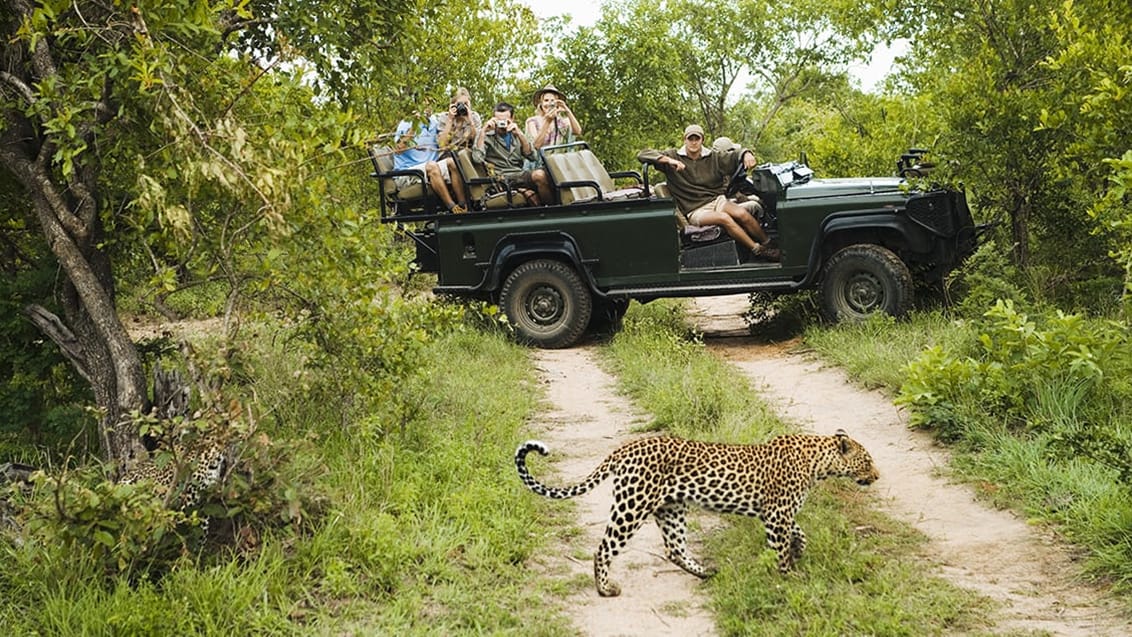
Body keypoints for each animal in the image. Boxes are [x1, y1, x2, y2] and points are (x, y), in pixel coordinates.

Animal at [518, 427, 878, 597]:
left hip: (671, 508)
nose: (876, 476)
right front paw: (788, 576)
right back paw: (605, 589)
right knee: (604, 548)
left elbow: (799, 531)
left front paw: (799, 550)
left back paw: (706, 572)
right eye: (868, 461)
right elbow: (780, 547)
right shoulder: (777, 514)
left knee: (674, 548)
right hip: (632, 506)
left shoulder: (776, 514)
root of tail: (625, 448)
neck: (819, 463)